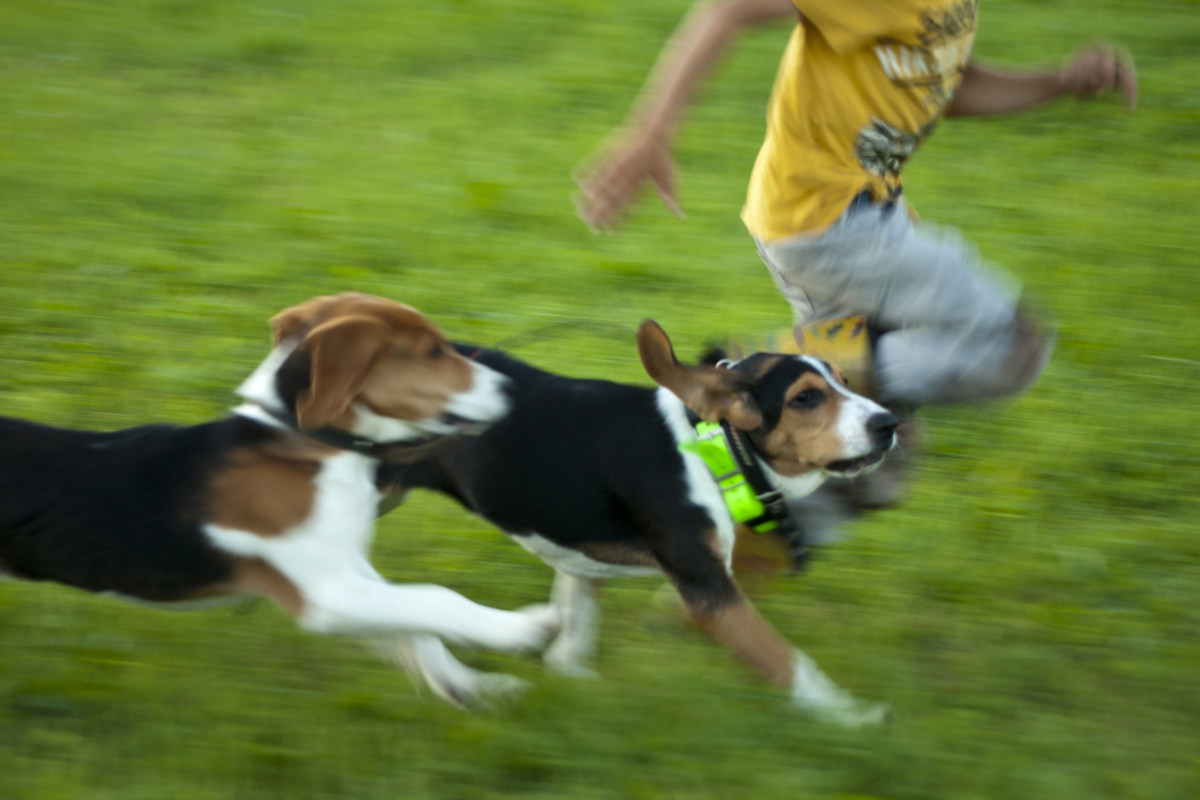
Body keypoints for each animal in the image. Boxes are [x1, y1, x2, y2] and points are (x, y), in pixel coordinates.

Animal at [0, 292, 559, 700]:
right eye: (434, 351)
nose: (512, 389)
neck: (303, 443)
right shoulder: (325, 595)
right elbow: (437, 598)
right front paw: (523, 629)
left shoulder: (349, 569)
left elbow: (417, 622)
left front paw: (467, 687)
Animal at [379, 319, 897, 724]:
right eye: (805, 398)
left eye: (847, 381)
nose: (888, 424)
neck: (712, 448)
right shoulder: (710, 592)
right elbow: (788, 662)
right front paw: (852, 717)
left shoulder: (583, 561)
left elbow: (574, 631)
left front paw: (572, 677)